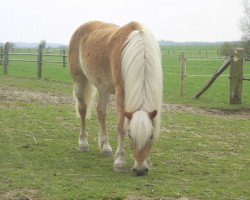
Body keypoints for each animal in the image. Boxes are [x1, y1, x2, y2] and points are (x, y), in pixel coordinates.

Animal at [68, 21, 162, 176]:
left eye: (151, 136)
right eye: (130, 136)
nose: (140, 170)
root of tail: (81, 28)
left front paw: (148, 160)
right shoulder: (120, 92)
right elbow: (120, 126)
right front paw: (119, 162)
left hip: (103, 87)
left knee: (101, 112)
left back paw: (105, 147)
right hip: (79, 80)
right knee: (83, 109)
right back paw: (83, 143)